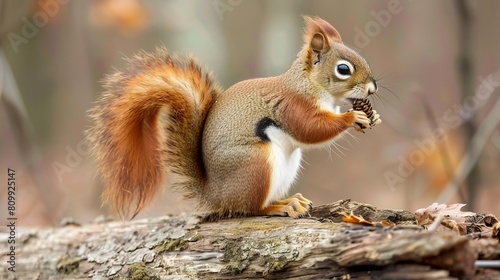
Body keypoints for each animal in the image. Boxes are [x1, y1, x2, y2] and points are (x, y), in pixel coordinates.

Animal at [88, 16, 380, 220]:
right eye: (343, 69)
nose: (372, 87)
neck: (307, 85)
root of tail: (216, 195)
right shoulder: (291, 107)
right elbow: (311, 129)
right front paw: (353, 117)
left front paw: (371, 115)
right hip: (255, 163)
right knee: (251, 208)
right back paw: (280, 207)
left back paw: (289, 200)